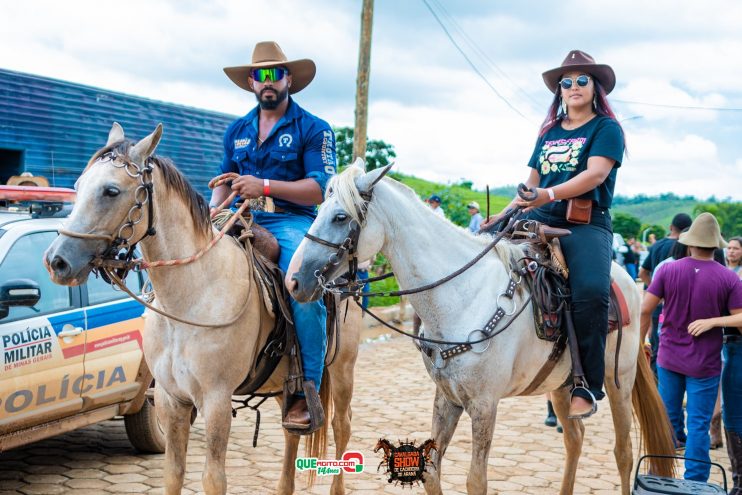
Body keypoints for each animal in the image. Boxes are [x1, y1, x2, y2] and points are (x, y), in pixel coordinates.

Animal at [43, 124, 364, 495]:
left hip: (342, 370)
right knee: (291, 432)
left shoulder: (216, 400)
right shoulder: (170, 398)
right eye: (78, 186)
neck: (190, 297)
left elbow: (213, 479)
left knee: (342, 426)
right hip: (286, 383)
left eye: (111, 191)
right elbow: (173, 472)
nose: (57, 261)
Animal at [288, 164, 676, 495]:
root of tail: (626, 280)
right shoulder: (447, 397)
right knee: (575, 438)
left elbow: (476, 481)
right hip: (562, 384)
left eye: (340, 216)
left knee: (623, 451)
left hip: (618, 380)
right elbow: (431, 471)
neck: (461, 294)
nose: (294, 281)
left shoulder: (484, 404)